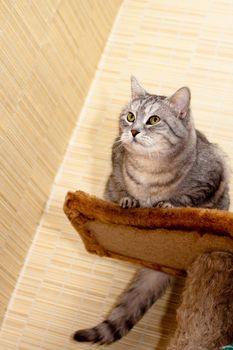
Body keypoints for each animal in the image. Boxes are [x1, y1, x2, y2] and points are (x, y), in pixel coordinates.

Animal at [73, 77, 230, 344]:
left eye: (154, 120)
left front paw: (168, 205)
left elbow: (186, 199)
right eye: (130, 116)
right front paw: (129, 201)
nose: (134, 131)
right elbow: (123, 189)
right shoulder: (114, 173)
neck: (149, 168)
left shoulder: (210, 178)